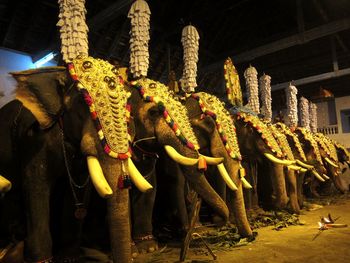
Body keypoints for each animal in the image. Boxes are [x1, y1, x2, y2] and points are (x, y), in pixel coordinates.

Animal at [0, 56, 230, 262]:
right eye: (155, 112)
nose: (219, 223)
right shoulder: (35, 140)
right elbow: (36, 188)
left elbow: (147, 187)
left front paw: (147, 248)